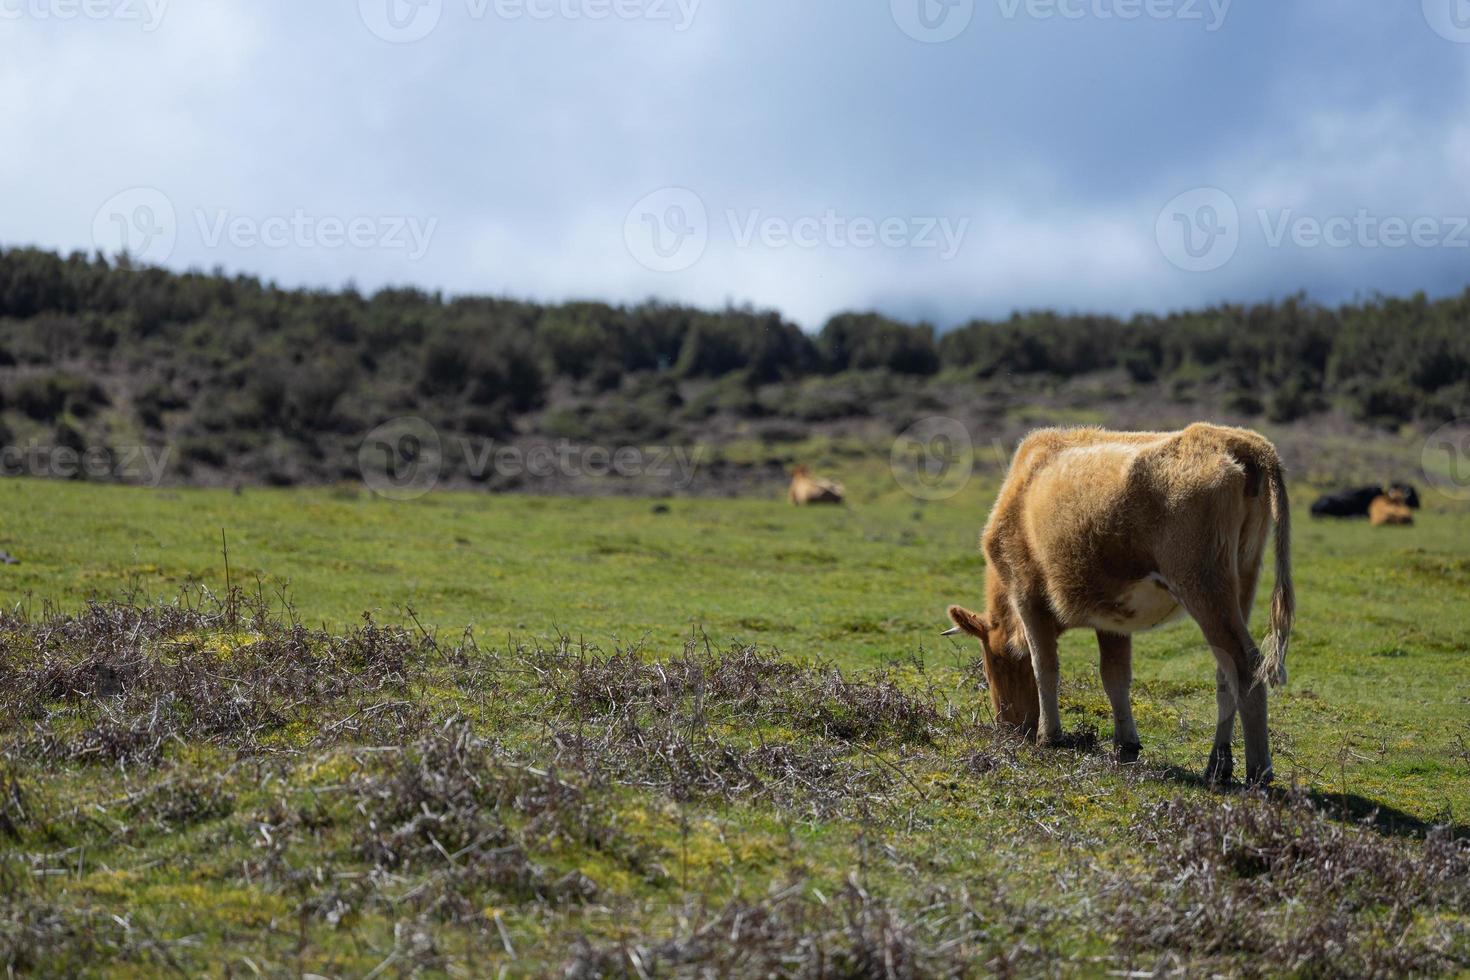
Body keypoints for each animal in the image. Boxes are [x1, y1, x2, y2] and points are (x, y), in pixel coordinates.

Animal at [946, 426, 1293, 787]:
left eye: (994, 662)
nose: (1009, 725)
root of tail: (1235, 439)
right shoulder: (1112, 617)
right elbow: (1114, 677)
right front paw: (1126, 744)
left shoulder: (1028, 598)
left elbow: (1045, 667)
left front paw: (1049, 736)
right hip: (1241, 583)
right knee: (1226, 673)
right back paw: (1217, 764)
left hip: (1203, 586)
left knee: (1246, 665)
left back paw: (1258, 771)